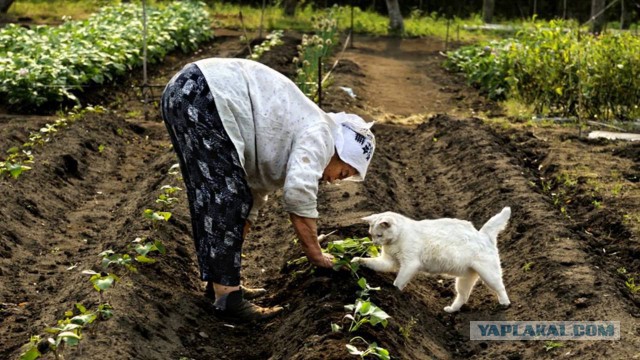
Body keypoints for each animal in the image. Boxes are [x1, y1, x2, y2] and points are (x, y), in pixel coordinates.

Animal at [352, 208, 512, 312]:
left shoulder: (410, 264)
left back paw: (505, 304)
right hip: (464, 280)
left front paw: (395, 292)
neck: (395, 241)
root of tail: (483, 235)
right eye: (371, 234)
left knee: (501, 287)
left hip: (489, 275)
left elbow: (398, 282)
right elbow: (370, 262)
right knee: (463, 296)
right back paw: (451, 310)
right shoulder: (389, 262)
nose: (375, 243)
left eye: (379, 235)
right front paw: (356, 260)